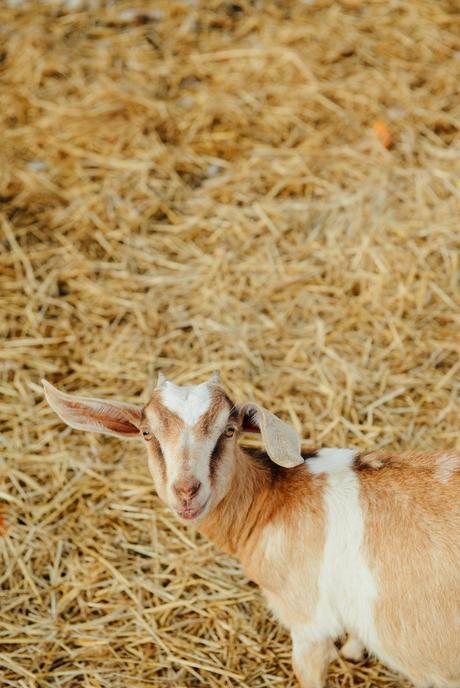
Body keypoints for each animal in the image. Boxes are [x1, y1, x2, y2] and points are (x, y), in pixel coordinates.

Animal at [43, 376, 460, 688]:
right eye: (147, 433)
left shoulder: (308, 620)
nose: (187, 491)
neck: (270, 500)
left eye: (228, 431)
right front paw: (356, 649)